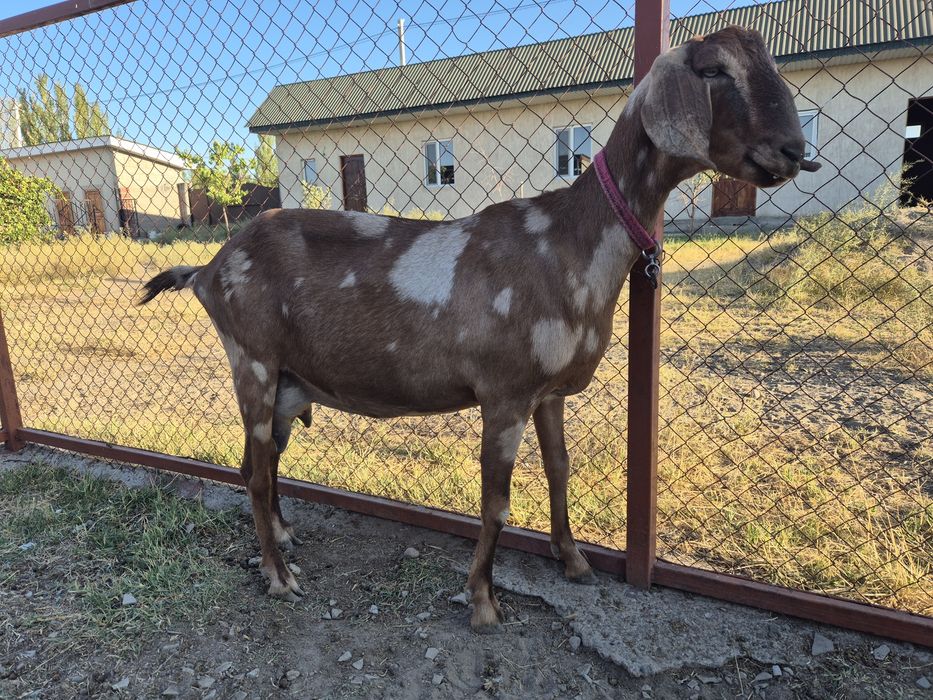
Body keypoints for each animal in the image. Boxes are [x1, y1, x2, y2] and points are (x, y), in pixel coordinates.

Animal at [141, 26, 819, 632]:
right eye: (714, 70)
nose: (794, 151)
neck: (568, 239)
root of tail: (209, 267)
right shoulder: (505, 393)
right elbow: (495, 505)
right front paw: (485, 602)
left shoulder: (546, 393)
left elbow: (560, 468)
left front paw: (573, 560)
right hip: (252, 359)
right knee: (255, 474)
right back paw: (279, 576)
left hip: (286, 380)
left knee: (260, 465)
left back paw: (283, 535)